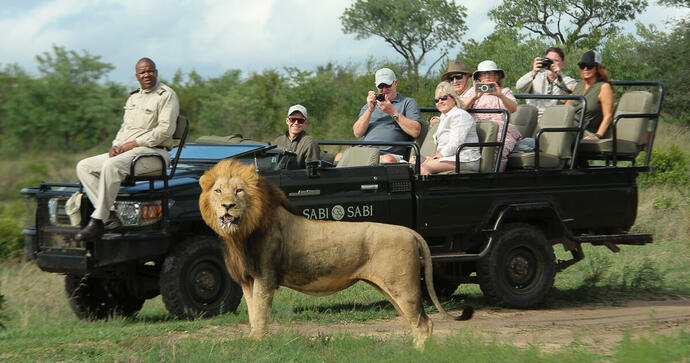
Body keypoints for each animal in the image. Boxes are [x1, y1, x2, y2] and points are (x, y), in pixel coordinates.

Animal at [196, 160, 470, 350]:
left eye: (239, 191)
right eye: (218, 191)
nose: (227, 206)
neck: (242, 232)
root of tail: (412, 232)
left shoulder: (266, 276)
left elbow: (261, 315)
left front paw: (258, 346)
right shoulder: (248, 279)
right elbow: (253, 314)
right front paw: (254, 342)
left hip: (403, 287)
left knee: (424, 324)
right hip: (394, 289)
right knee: (419, 323)